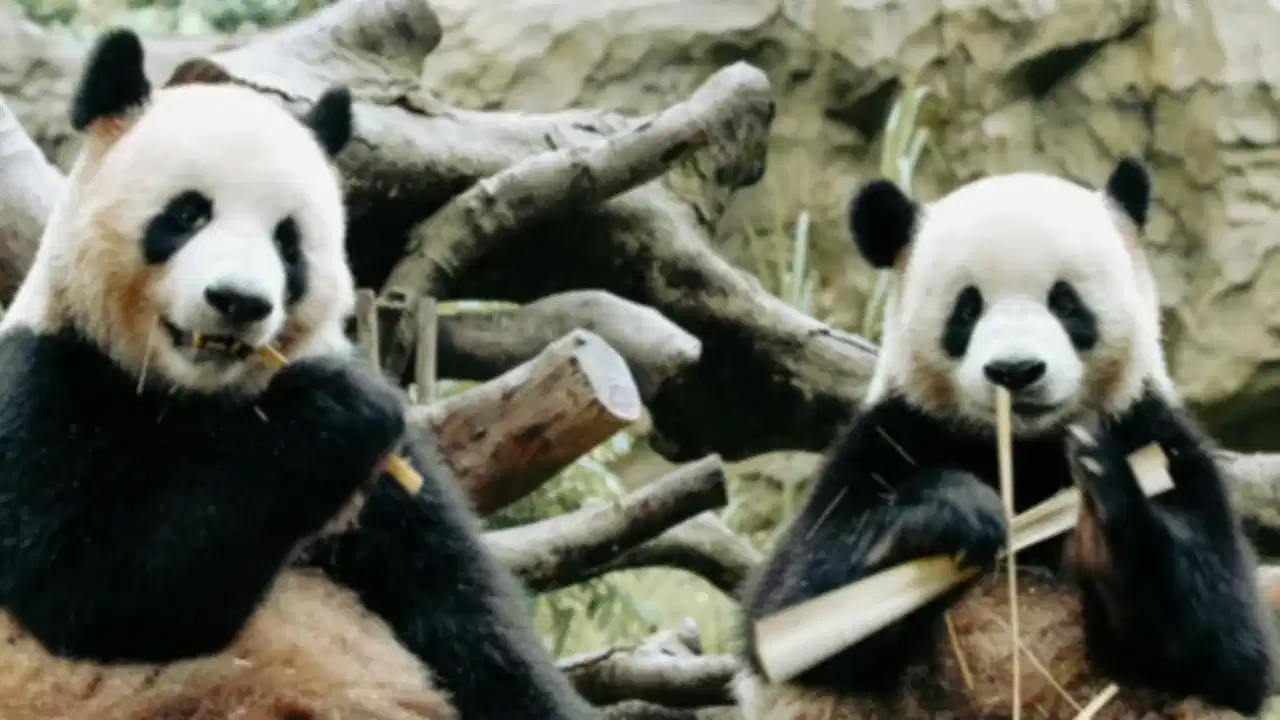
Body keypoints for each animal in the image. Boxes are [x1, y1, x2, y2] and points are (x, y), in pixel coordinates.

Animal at [0, 28, 599, 720]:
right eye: (187, 215)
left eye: (288, 241)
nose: (239, 302)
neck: (196, 398)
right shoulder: (44, 381)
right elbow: (91, 590)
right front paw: (334, 416)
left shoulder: (386, 487)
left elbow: (461, 614)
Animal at [733, 158, 1280, 719]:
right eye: (967, 309)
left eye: (1066, 302)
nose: (1015, 371)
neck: (1023, 448)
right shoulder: (892, 436)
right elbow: (794, 597)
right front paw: (955, 510)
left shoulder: (1156, 437)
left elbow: (1227, 641)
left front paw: (1100, 496)